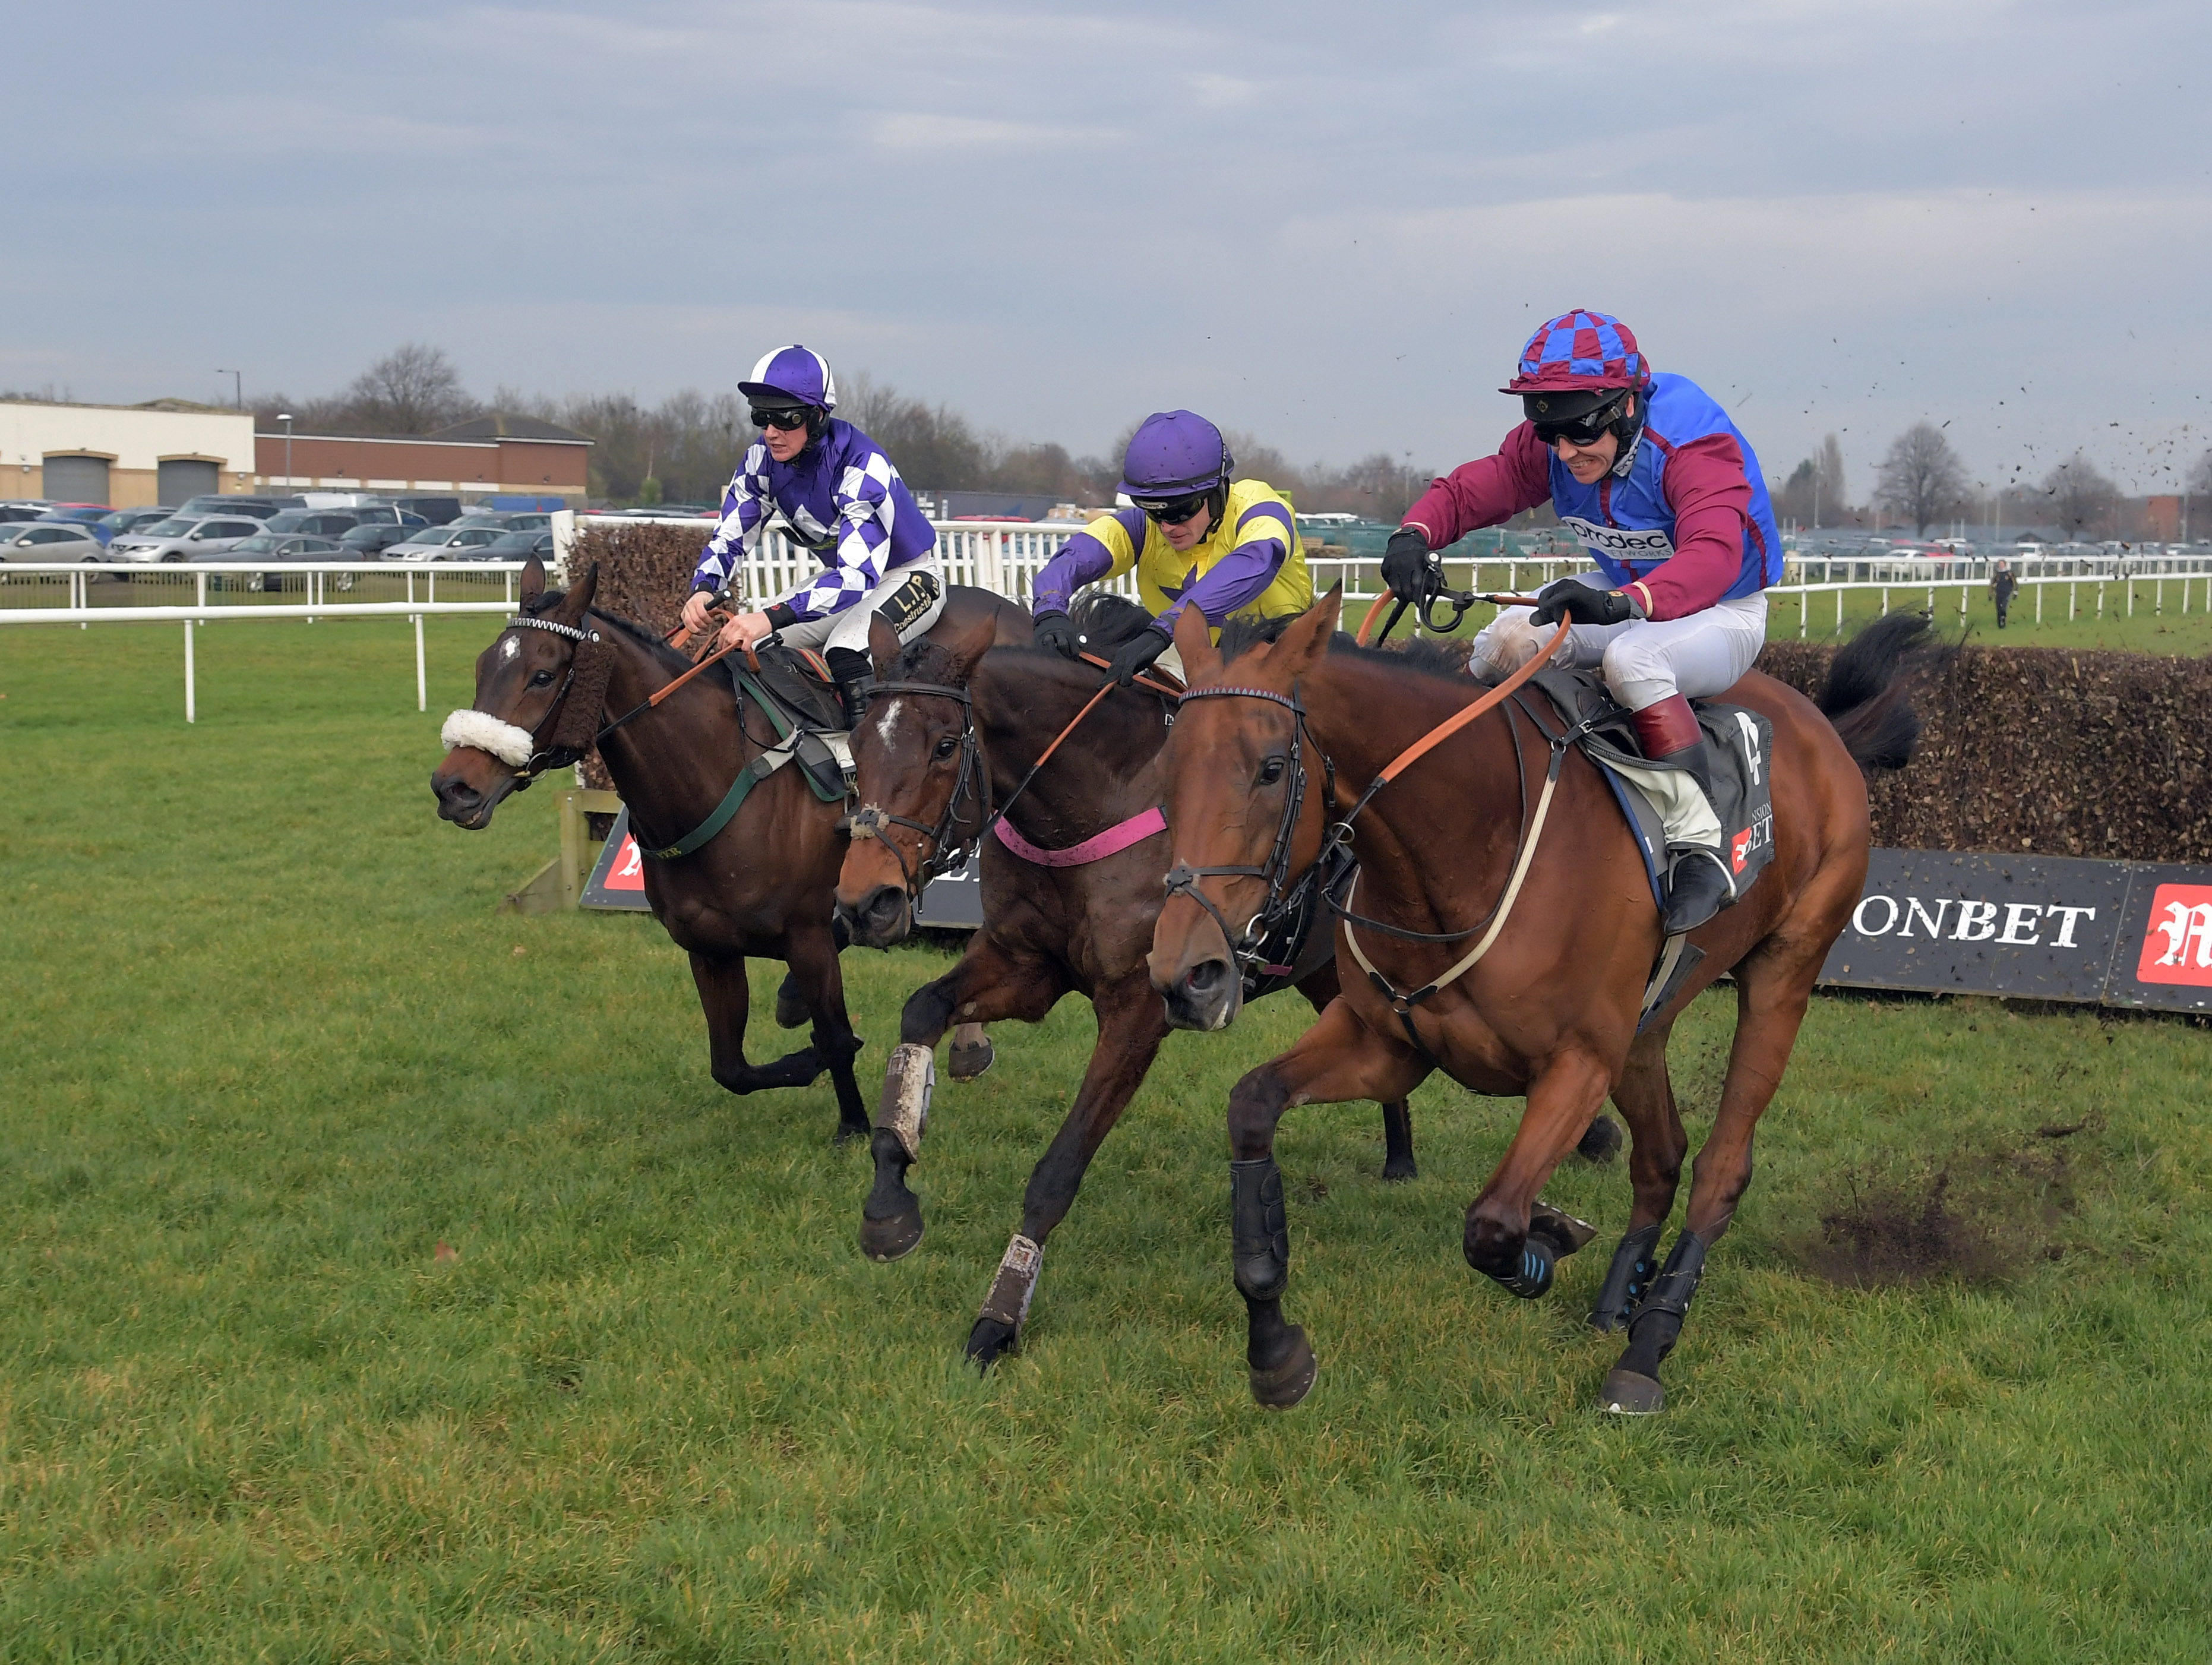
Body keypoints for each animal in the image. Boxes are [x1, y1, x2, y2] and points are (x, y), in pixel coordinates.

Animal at [433, 559, 1035, 1140]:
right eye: (482, 667)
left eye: (542, 675)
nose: (452, 787)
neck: (717, 777)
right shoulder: (709, 948)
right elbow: (732, 1067)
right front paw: (804, 1056)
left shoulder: (806, 937)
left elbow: (836, 1037)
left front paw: (853, 1123)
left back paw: (969, 1038)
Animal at [827, 592, 1433, 1370]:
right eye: (857, 740)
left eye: (940, 746)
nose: (863, 902)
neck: (1097, 808)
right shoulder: (1026, 964)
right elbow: (920, 1010)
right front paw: (889, 1200)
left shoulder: (1138, 1009)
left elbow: (1056, 1172)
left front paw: (997, 1318)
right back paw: (1400, 1155)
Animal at [1150, 592, 1929, 1406]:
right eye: (1163, 772)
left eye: (1271, 769)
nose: (1187, 976)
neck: (1469, 846)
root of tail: (1821, 728)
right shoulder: (1387, 1045)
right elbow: (1252, 1107)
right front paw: (1274, 1349)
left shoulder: (1576, 1063)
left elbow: (1492, 1225)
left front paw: (1546, 1240)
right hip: (1643, 1028)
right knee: (1661, 1154)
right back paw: (1620, 1296)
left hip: (1782, 974)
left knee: (1720, 1168)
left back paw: (1646, 1349)